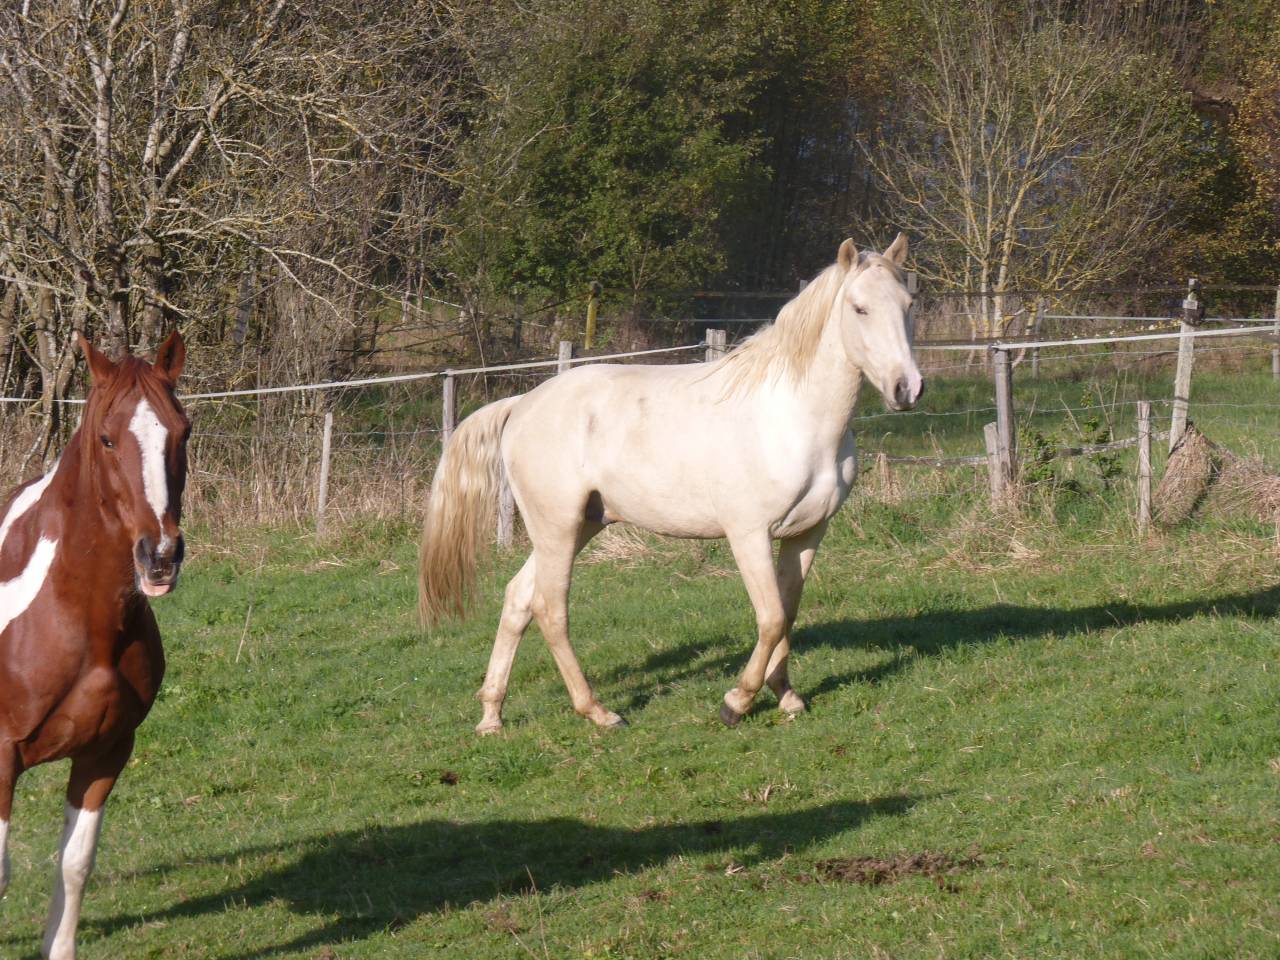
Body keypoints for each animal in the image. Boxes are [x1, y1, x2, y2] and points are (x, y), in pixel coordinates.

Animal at [0, 332, 188, 960]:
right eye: (107, 439)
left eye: (182, 432)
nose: (160, 557)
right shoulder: (2, 757)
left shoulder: (107, 750)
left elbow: (75, 864)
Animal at [419, 236, 922, 734]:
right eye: (859, 308)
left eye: (908, 304)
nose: (907, 388)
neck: (792, 417)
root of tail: (523, 404)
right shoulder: (749, 535)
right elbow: (771, 617)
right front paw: (736, 702)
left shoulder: (807, 533)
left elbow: (788, 613)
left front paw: (787, 696)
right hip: (557, 528)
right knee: (550, 609)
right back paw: (599, 712)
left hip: (580, 525)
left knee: (518, 599)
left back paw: (492, 715)